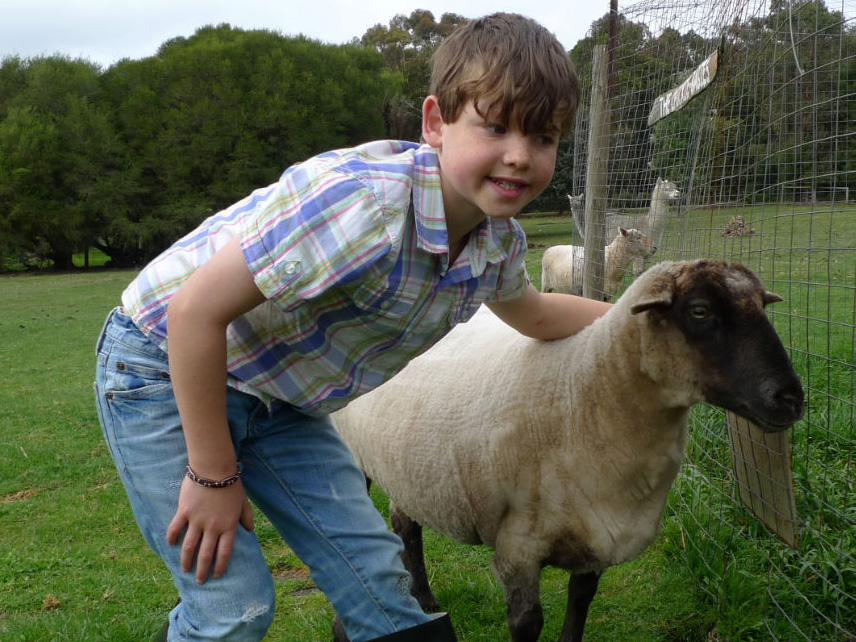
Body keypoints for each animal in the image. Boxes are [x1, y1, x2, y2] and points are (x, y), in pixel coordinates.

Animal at [332, 258, 804, 640]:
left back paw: (425, 598)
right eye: (700, 310)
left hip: (410, 465)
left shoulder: (596, 536)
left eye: (762, 306)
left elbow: (580, 603)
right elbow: (527, 623)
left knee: (406, 525)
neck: (583, 392)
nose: (791, 399)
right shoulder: (517, 547)